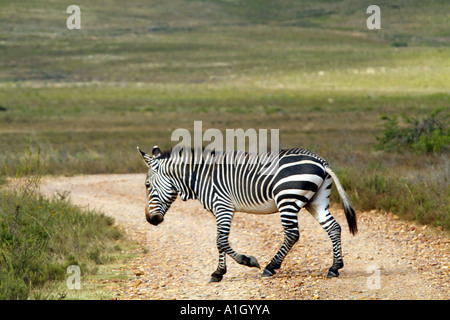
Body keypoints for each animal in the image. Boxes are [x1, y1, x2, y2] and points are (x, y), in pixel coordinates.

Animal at [138, 145, 358, 282]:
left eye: (147, 185)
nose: (150, 220)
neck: (200, 178)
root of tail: (321, 161)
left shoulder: (223, 206)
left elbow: (221, 241)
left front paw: (244, 262)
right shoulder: (220, 210)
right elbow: (220, 241)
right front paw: (219, 272)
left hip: (287, 198)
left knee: (292, 234)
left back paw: (270, 266)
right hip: (316, 201)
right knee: (334, 227)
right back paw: (335, 267)